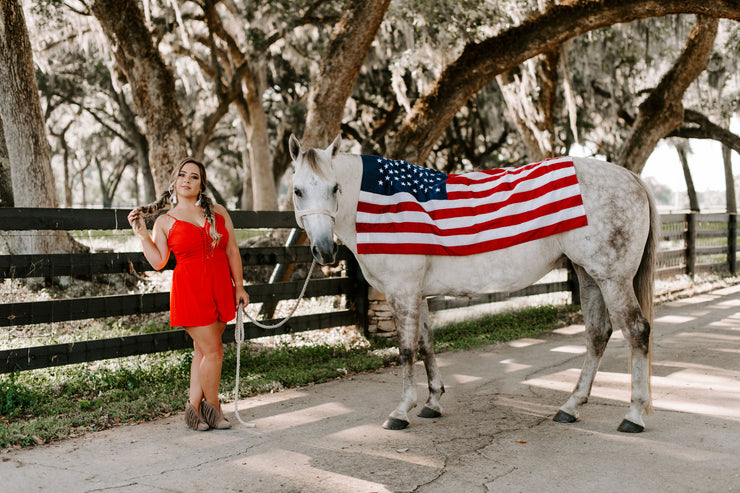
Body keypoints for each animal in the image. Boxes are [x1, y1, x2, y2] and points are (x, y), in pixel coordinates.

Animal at [290, 133, 660, 432]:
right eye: (297, 191)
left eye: (334, 188)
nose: (324, 250)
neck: (383, 206)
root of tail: (631, 176)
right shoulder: (417, 294)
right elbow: (426, 344)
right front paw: (433, 401)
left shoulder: (402, 292)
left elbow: (407, 350)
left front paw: (401, 410)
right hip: (589, 275)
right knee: (598, 334)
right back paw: (571, 406)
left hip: (613, 278)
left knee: (636, 331)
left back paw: (634, 415)